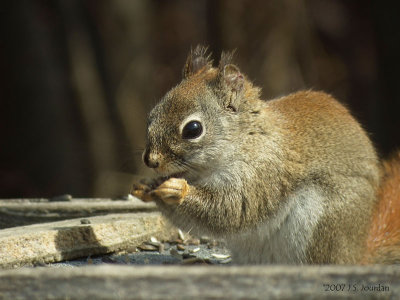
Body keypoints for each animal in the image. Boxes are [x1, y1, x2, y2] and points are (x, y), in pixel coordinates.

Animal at [133, 45, 400, 264]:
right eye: (152, 115)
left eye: (193, 129)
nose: (151, 160)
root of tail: (356, 253)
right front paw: (146, 187)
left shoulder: (264, 172)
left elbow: (230, 210)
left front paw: (176, 189)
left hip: (323, 228)